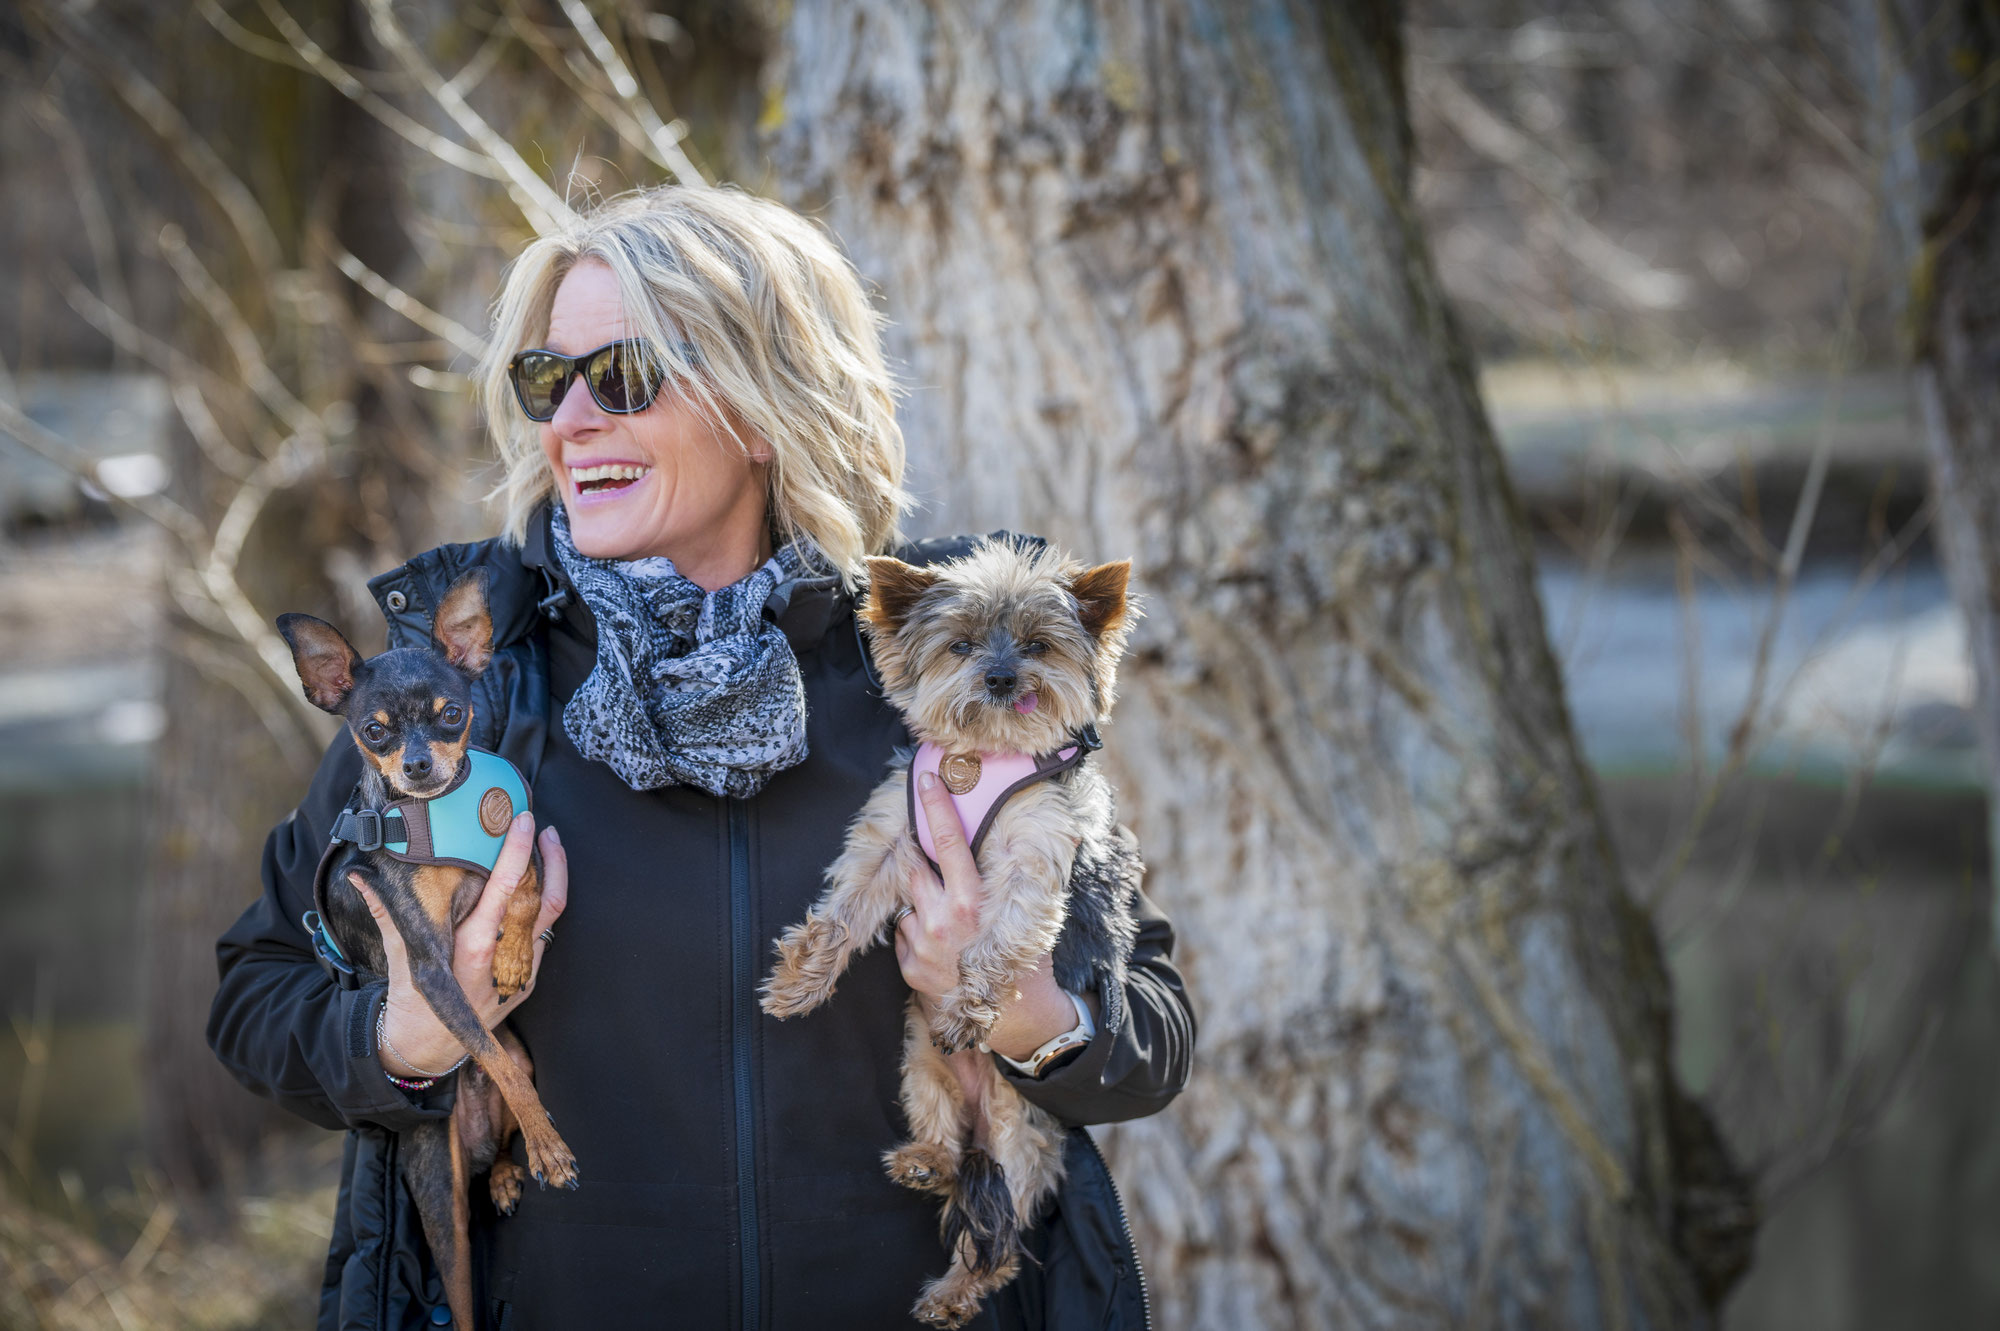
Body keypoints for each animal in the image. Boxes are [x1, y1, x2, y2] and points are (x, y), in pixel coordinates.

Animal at [276, 571, 572, 1327]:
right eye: (373, 731)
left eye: (450, 715)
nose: (414, 764)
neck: (433, 814)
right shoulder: (434, 970)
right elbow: (490, 1053)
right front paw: (551, 1145)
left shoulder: (521, 846)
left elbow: (524, 893)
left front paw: (512, 955)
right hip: (441, 1207)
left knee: (503, 1114)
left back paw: (506, 1171)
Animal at [756, 535, 1152, 1319]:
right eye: (961, 644)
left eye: (1037, 645)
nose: (1000, 676)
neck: (984, 755)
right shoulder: (892, 833)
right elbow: (845, 911)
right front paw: (800, 980)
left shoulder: (1033, 860)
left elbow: (998, 940)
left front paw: (972, 1006)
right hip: (918, 1064)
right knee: (944, 1149)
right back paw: (924, 1161)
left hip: (1020, 1127)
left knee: (1001, 1234)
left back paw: (955, 1291)